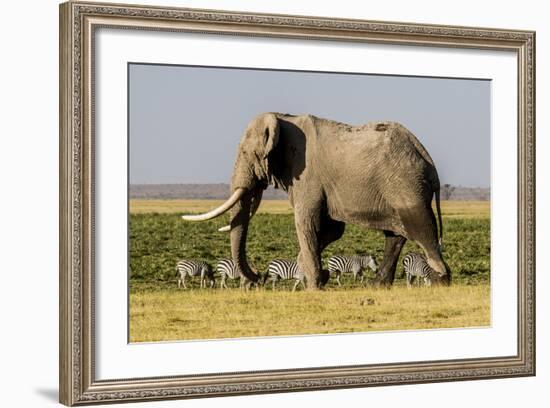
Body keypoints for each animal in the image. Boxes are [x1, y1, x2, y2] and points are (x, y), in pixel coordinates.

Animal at [183, 113, 450, 288]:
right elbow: (331, 229)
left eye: (247, 153)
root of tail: (428, 159)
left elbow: (307, 223)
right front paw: (314, 276)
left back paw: (440, 280)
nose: (258, 276)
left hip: (406, 185)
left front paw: (312, 285)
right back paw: (379, 286)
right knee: (395, 235)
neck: (283, 118)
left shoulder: (307, 175)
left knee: (421, 228)